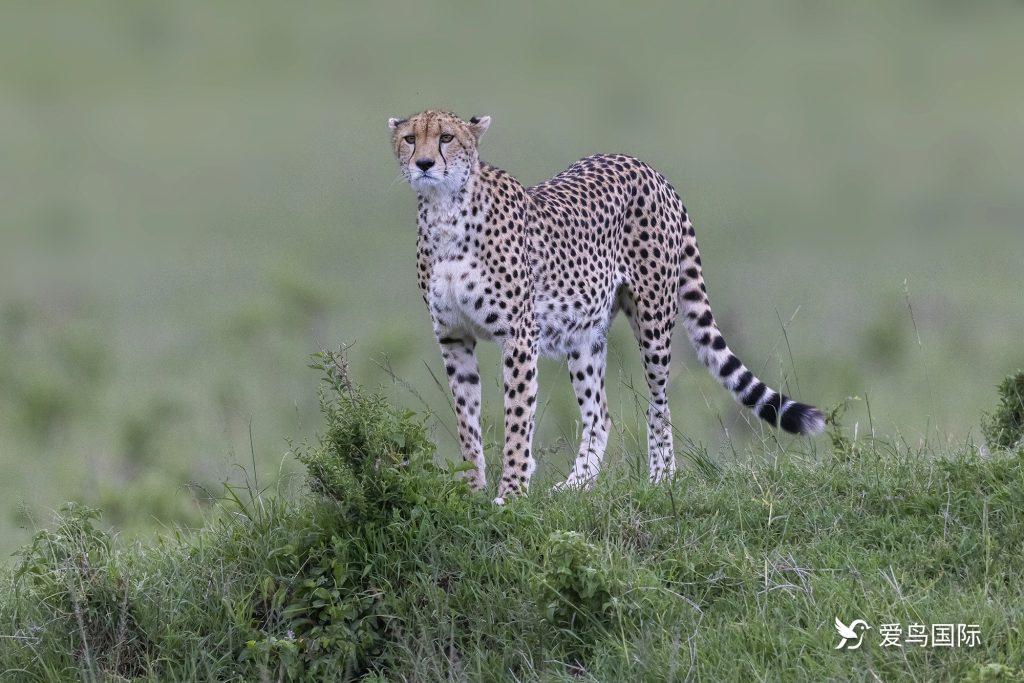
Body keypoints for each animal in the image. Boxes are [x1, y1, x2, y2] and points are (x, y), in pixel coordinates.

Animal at [385, 108, 823, 501]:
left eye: (446, 138)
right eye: (410, 138)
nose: (424, 163)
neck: (444, 211)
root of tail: (643, 165)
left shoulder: (520, 335)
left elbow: (517, 419)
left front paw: (510, 494)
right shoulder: (453, 336)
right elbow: (467, 420)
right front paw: (472, 491)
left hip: (653, 318)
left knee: (659, 404)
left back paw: (661, 480)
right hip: (585, 333)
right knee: (600, 414)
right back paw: (575, 485)